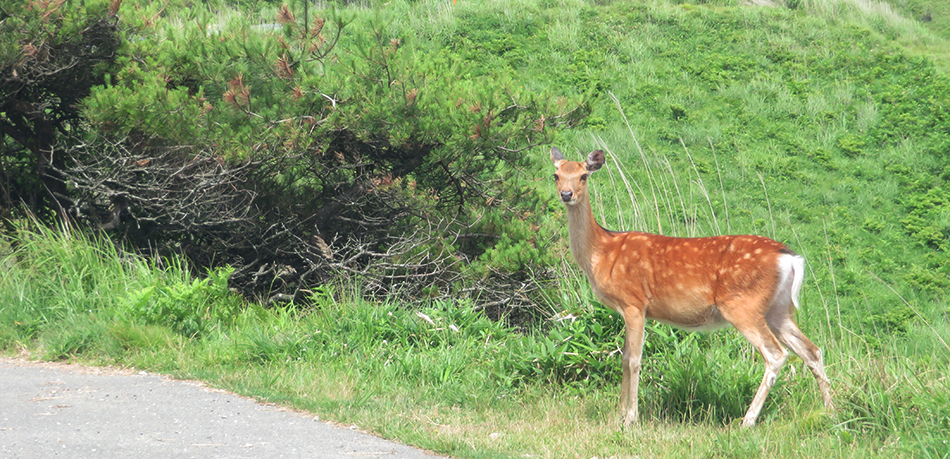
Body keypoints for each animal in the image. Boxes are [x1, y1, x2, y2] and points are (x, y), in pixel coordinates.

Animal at [550, 147, 833, 427]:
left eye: (584, 175)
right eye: (556, 175)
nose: (567, 194)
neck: (603, 252)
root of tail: (791, 258)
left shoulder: (634, 302)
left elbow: (633, 360)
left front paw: (631, 418)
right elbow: (623, 358)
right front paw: (619, 415)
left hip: (743, 304)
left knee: (776, 354)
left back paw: (748, 420)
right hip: (778, 308)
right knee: (812, 351)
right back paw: (830, 411)